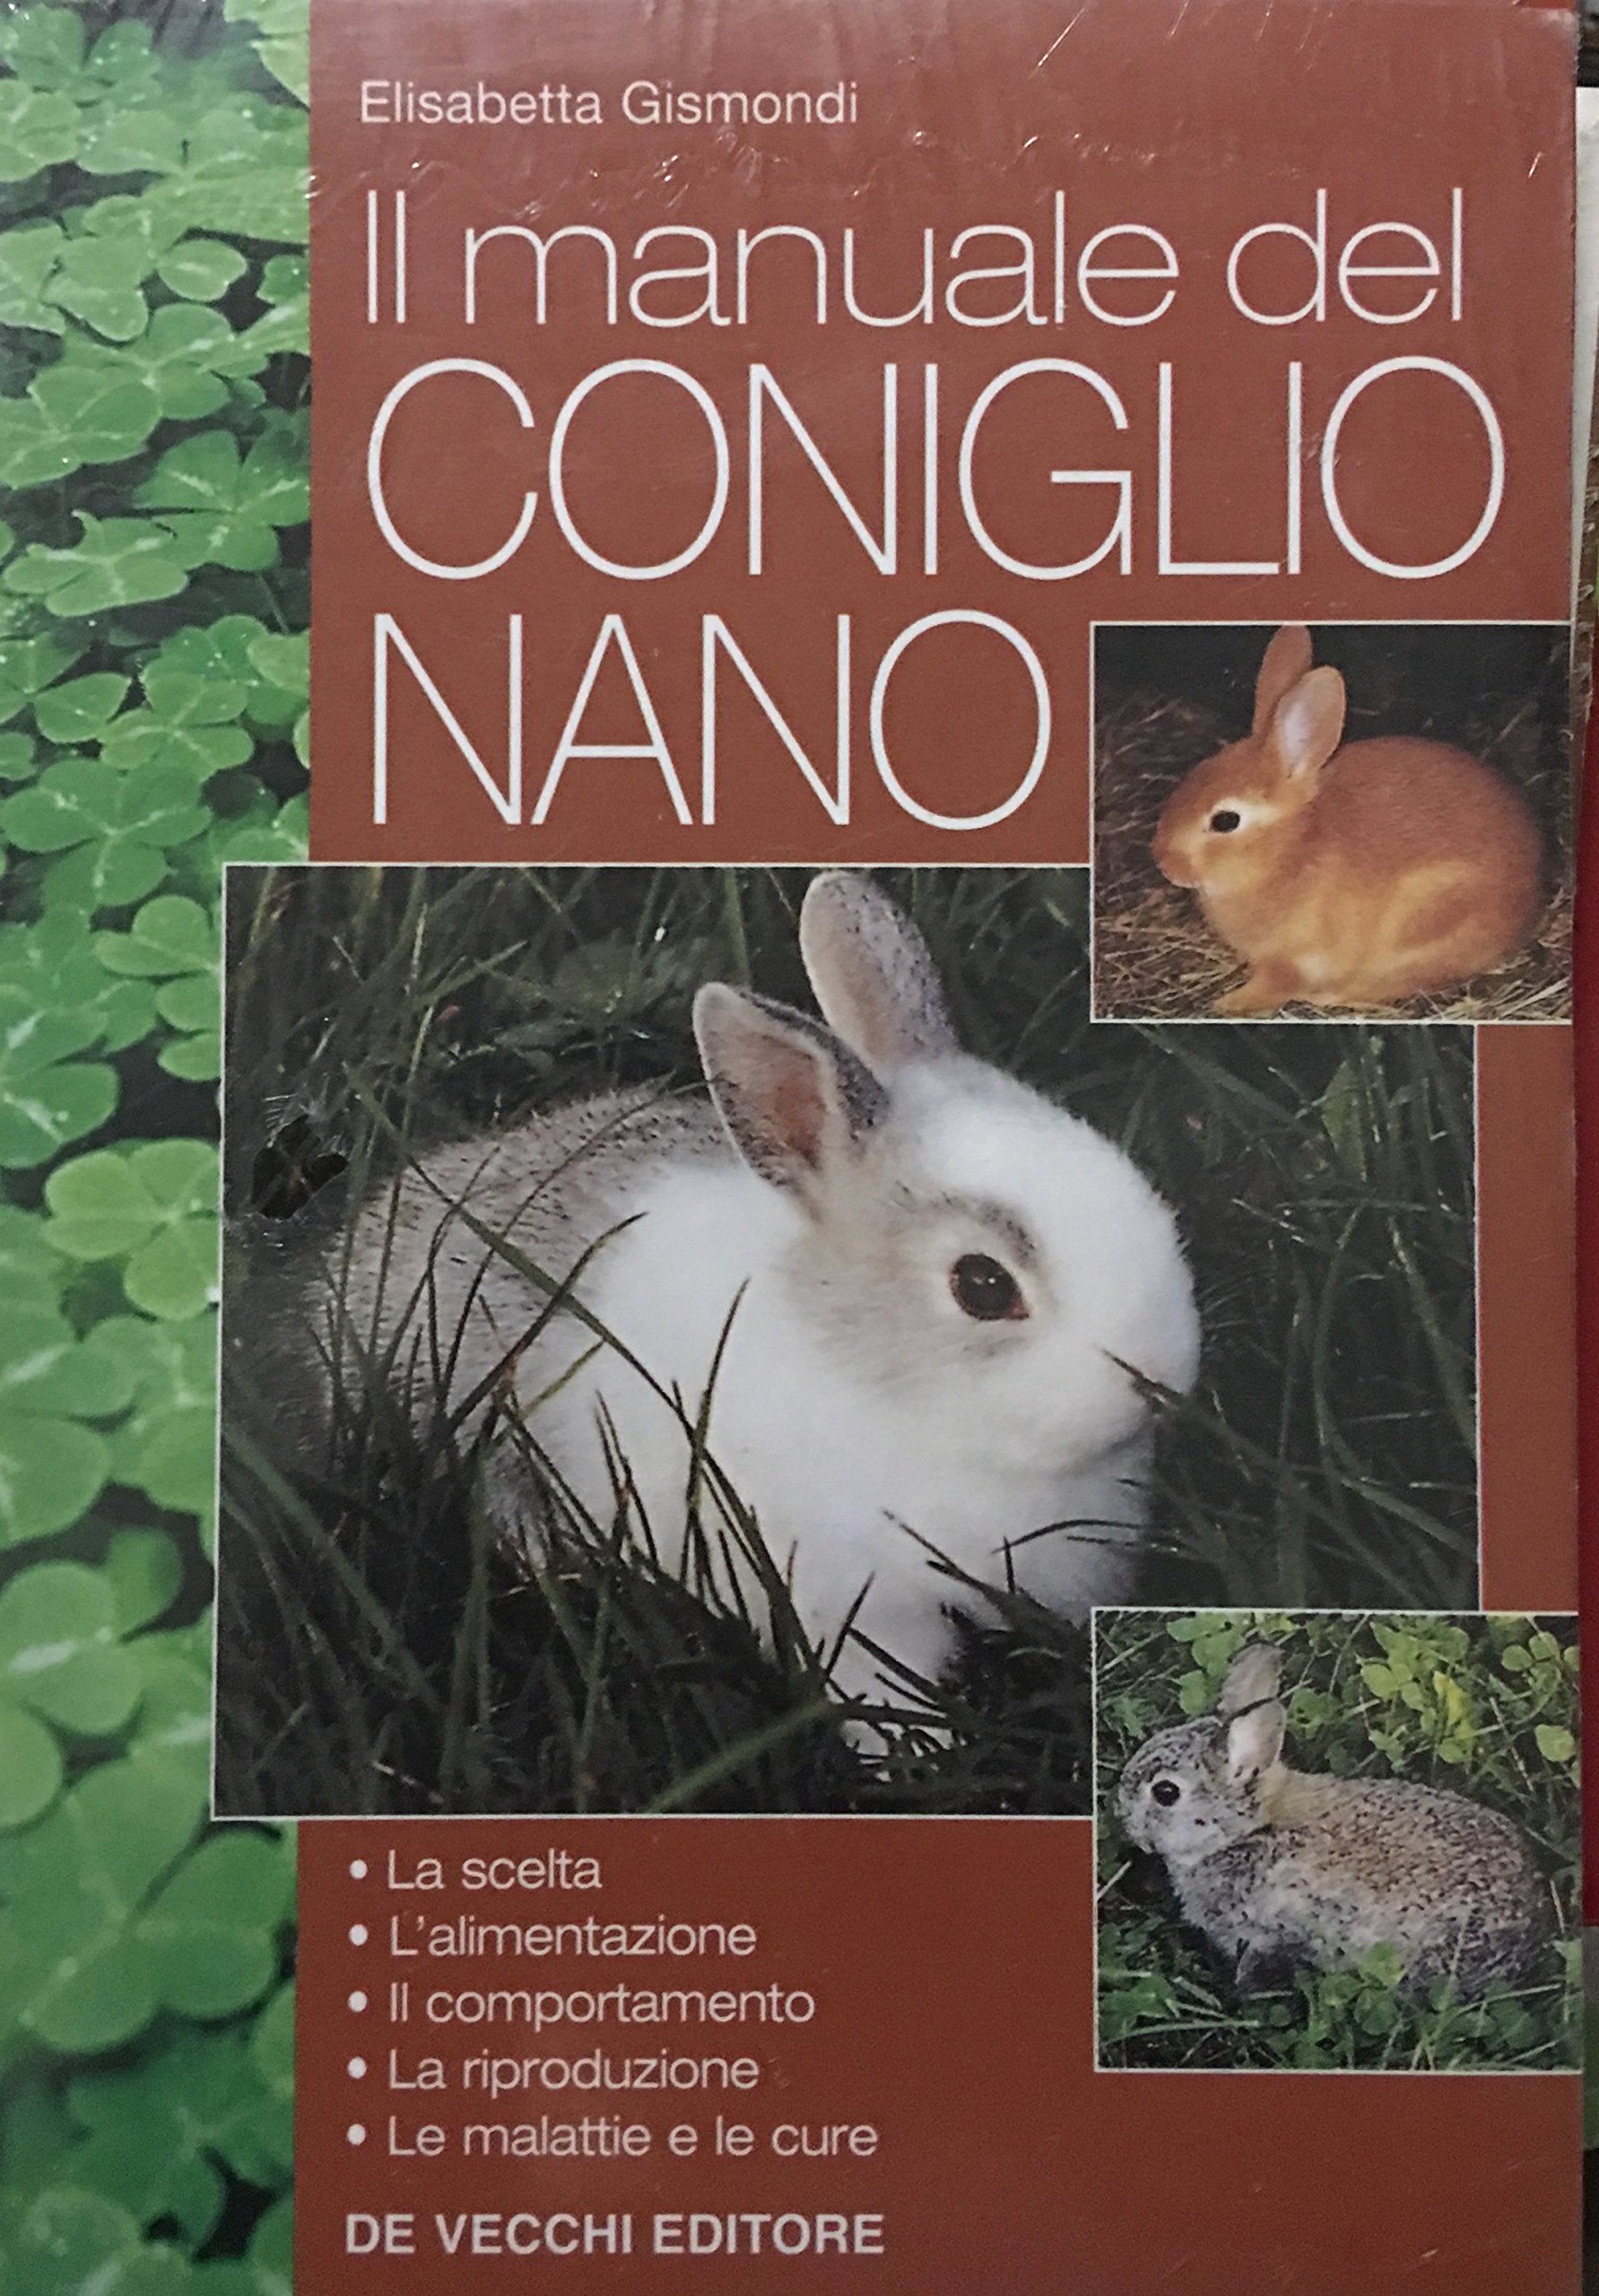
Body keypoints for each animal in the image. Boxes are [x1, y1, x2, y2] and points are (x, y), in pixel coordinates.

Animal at [1151, 624, 1543, 1014]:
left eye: (1225, 821)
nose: (1164, 863)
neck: (1290, 850)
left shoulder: (1294, 959)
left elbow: (1274, 985)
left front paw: (1229, 1004)